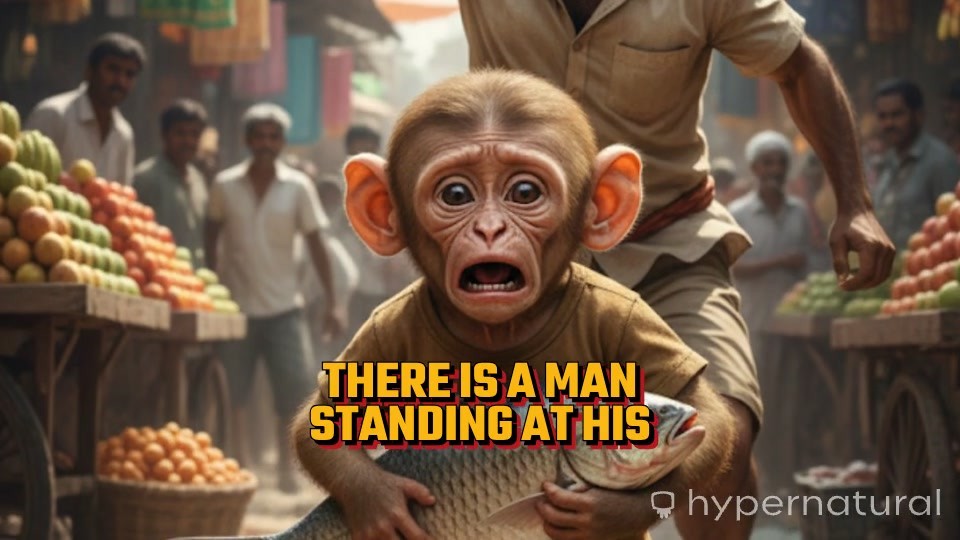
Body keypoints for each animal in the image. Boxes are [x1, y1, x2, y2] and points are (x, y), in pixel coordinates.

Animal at [292, 69, 735, 540]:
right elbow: (319, 425)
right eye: (456, 195)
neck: (502, 329)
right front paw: (382, 503)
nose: (490, 229)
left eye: (524, 192)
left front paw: (605, 513)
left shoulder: (629, 313)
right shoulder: (382, 323)